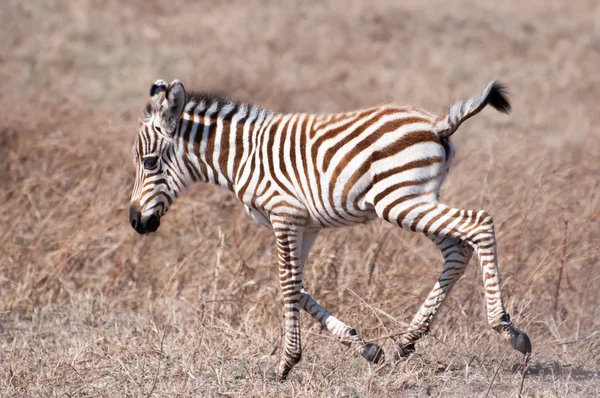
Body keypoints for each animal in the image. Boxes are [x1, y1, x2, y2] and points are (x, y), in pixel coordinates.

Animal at [130, 79, 528, 380]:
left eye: (148, 162)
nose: (135, 222)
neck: (243, 157)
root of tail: (436, 124)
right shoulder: (305, 225)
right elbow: (297, 285)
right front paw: (364, 346)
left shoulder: (284, 214)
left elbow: (287, 284)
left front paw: (286, 364)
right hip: (414, 197)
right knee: (457, 249)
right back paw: (407, 341)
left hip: (398, 200)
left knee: (479, 223)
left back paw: (509, 330)